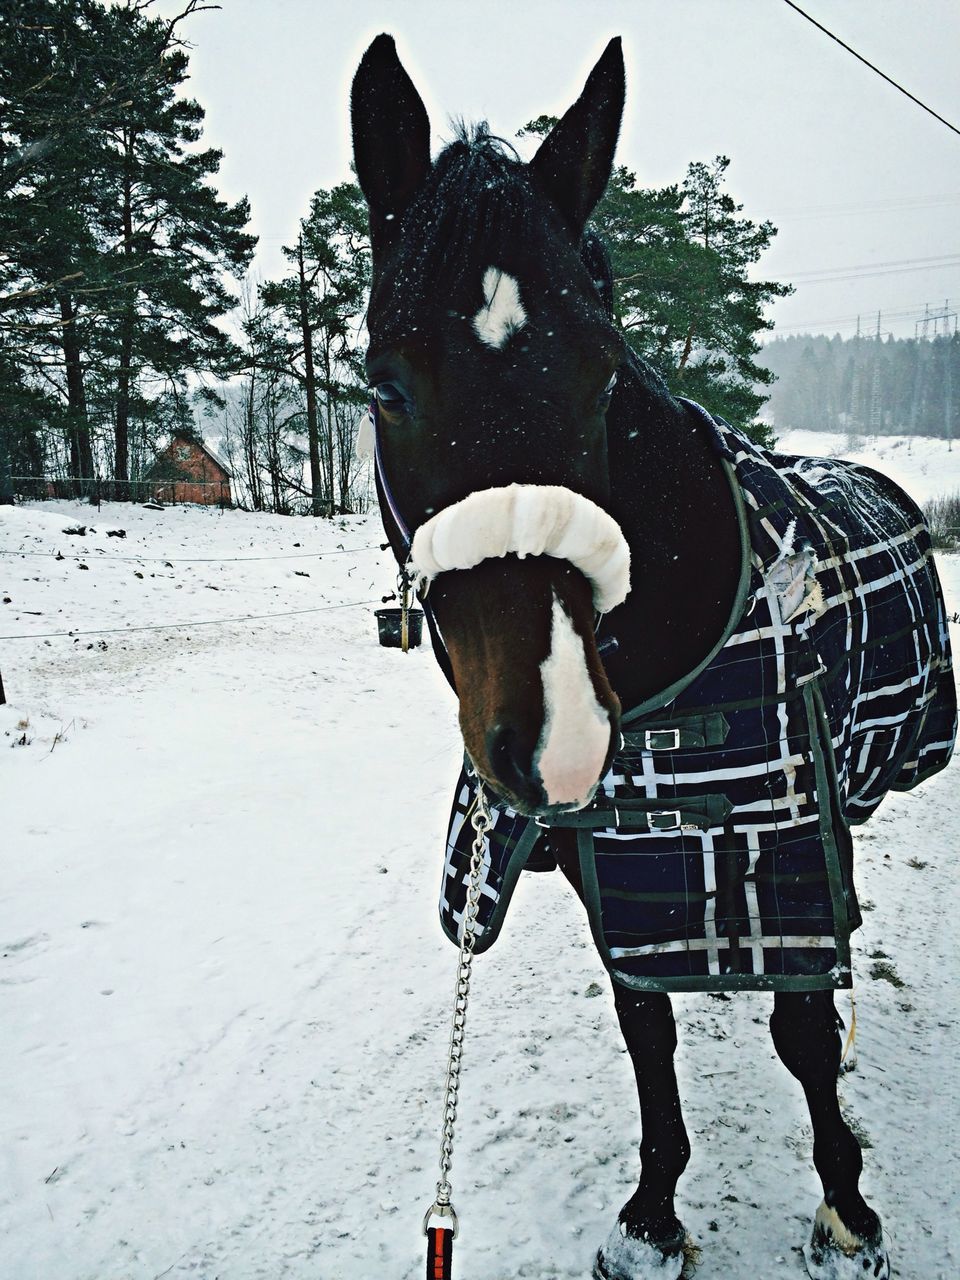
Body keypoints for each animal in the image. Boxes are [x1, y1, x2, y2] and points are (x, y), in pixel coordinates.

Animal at [350, 32, 957, 1280]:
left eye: (602, 373)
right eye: (385, 385)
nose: (559, 741)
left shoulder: (783, 836)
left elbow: (803, 1023)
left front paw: (846, 1205)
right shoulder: (614, 855)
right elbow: (646, 1018)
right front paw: (653, 1208)